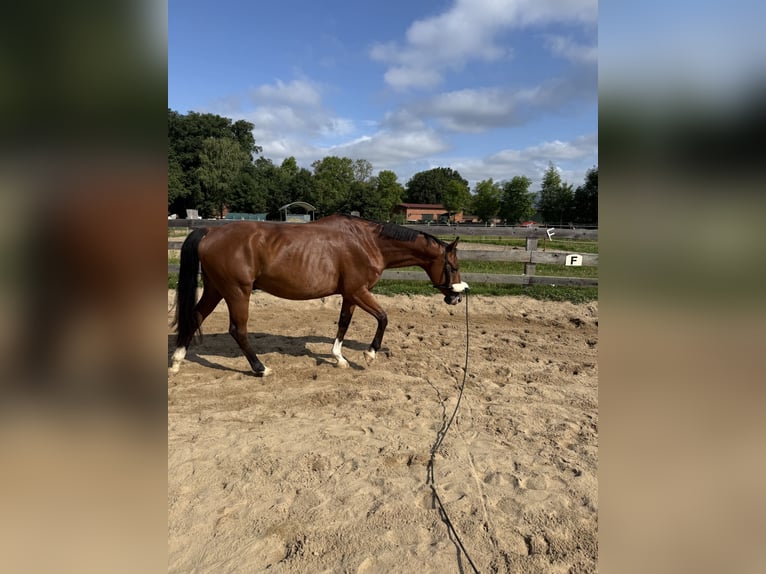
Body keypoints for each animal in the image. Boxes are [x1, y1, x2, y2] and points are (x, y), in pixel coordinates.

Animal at [170, 214, 468, 376]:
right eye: (453, 266)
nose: (456, 298)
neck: (368, 242)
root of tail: (211, 231)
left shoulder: (350, 295)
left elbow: (344, 323)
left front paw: (339, 358)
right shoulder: (359, 291)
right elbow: (383, 317)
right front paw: (370, 354)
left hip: (216, 289)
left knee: (195, 316)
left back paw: (177, 361)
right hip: (236, 291)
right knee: (237, 330)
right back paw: (260, 368)